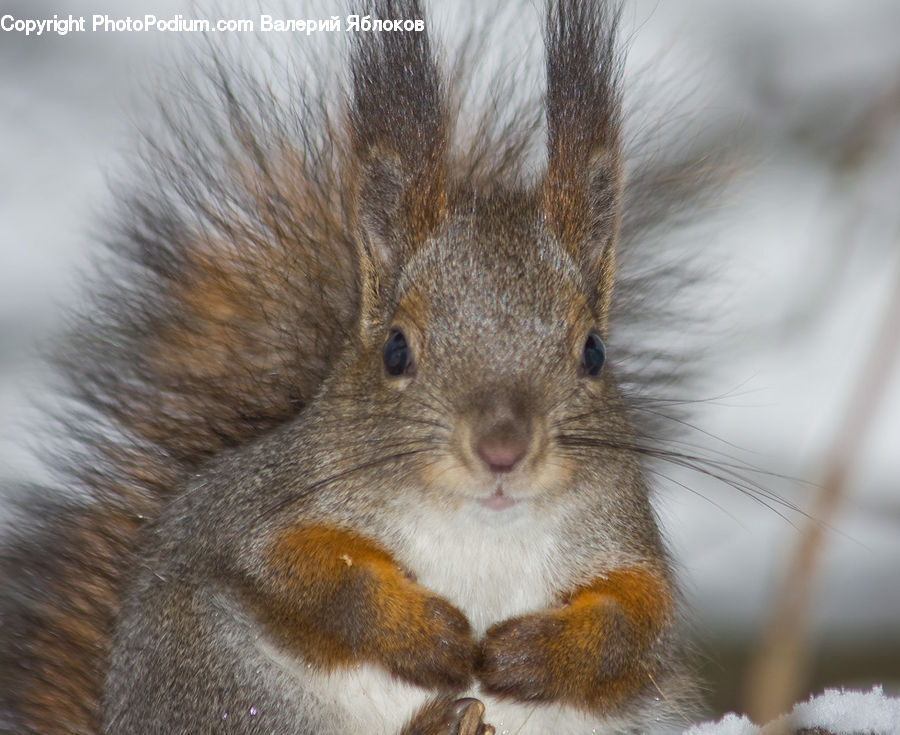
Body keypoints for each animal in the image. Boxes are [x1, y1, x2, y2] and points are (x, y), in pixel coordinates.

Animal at [0, 0, 713, 733]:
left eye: (594, 351)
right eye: (396, 349)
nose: (502, 450)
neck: (482, 531)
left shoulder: (628, 544)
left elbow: (634, 627)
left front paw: (535, 653)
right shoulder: (264, 508)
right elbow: (310, 576)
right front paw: (425, 633)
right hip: (227, 685)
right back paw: (440, 721)